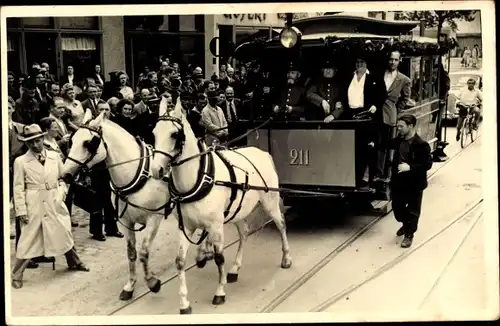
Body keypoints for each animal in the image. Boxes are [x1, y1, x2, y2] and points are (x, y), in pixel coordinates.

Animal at [61, 111, 171, 300]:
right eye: (72, 141)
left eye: (88, 143)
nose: (65, 174)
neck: (138, 176)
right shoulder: (126, 221)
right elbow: (131, 253)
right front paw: (130, 286)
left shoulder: (154, 218)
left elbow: (144, 252)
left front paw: (152, 282)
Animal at [150, 96, 292, 314]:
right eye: (154, 133)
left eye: (174, 134)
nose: (156, 170)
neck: (197, 179)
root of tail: (261, 152)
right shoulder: (186, 227)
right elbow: (180, 261)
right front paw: (184, 303)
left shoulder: (216, 226)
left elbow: (219, 258)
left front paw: (219, 292)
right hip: (237, 211)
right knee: (244, 232)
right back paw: (234, 269)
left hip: (270, 203)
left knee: (281, 224)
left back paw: (285, 258)